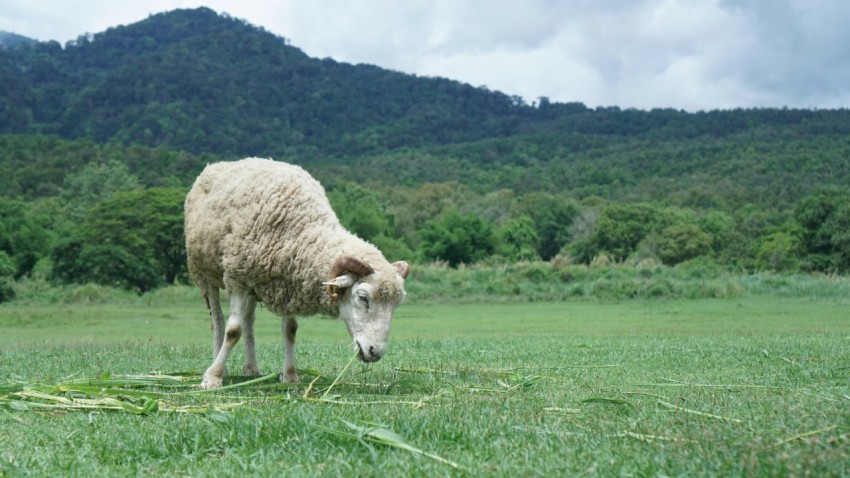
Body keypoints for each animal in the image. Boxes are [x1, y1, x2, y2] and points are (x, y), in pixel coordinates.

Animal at [184, 158, 410, 389]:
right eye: (363, 297)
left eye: (396, 305)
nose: (376, 352)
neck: (302, 226)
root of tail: (217, 164)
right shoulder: (237, 277)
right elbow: (232, 331)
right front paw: (213, 377)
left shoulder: (288, 282)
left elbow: (290, 330)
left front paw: (290, 375)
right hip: (204, 273)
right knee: (218, 320)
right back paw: (221, 365)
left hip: (252, 285)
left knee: (249, 320)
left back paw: (252, 368)